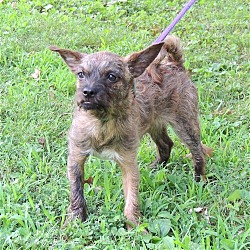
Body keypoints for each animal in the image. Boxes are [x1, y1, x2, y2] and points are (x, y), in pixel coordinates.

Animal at [49, 35, 208, 229]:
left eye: (111, 76)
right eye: (81, 74)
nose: (87, 92)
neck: (102, 122)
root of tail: (174, 64)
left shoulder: (128, 163)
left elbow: (132, 198)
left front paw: (134, 224)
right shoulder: (76, 158)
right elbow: (76, 191)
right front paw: (75, 219)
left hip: (185, 125)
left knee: (198, 152)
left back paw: (199, 179)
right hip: (153, 123)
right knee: (166, 144)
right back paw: (157, 166)